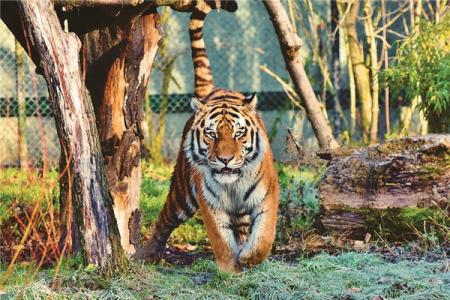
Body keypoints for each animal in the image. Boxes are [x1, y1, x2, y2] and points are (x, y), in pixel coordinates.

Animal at [135, 0, 280, 272]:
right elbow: (221, 240)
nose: (225, 159)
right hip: (182, 193)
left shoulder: (267, 197)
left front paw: (249, 258)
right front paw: (229, 268)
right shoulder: (210, 204)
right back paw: (147, 255)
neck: (233, 184)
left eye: (239, 134)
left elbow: (264, 235)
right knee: (163, 220)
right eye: (211, 134)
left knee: (242, 228)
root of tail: (212, 90)